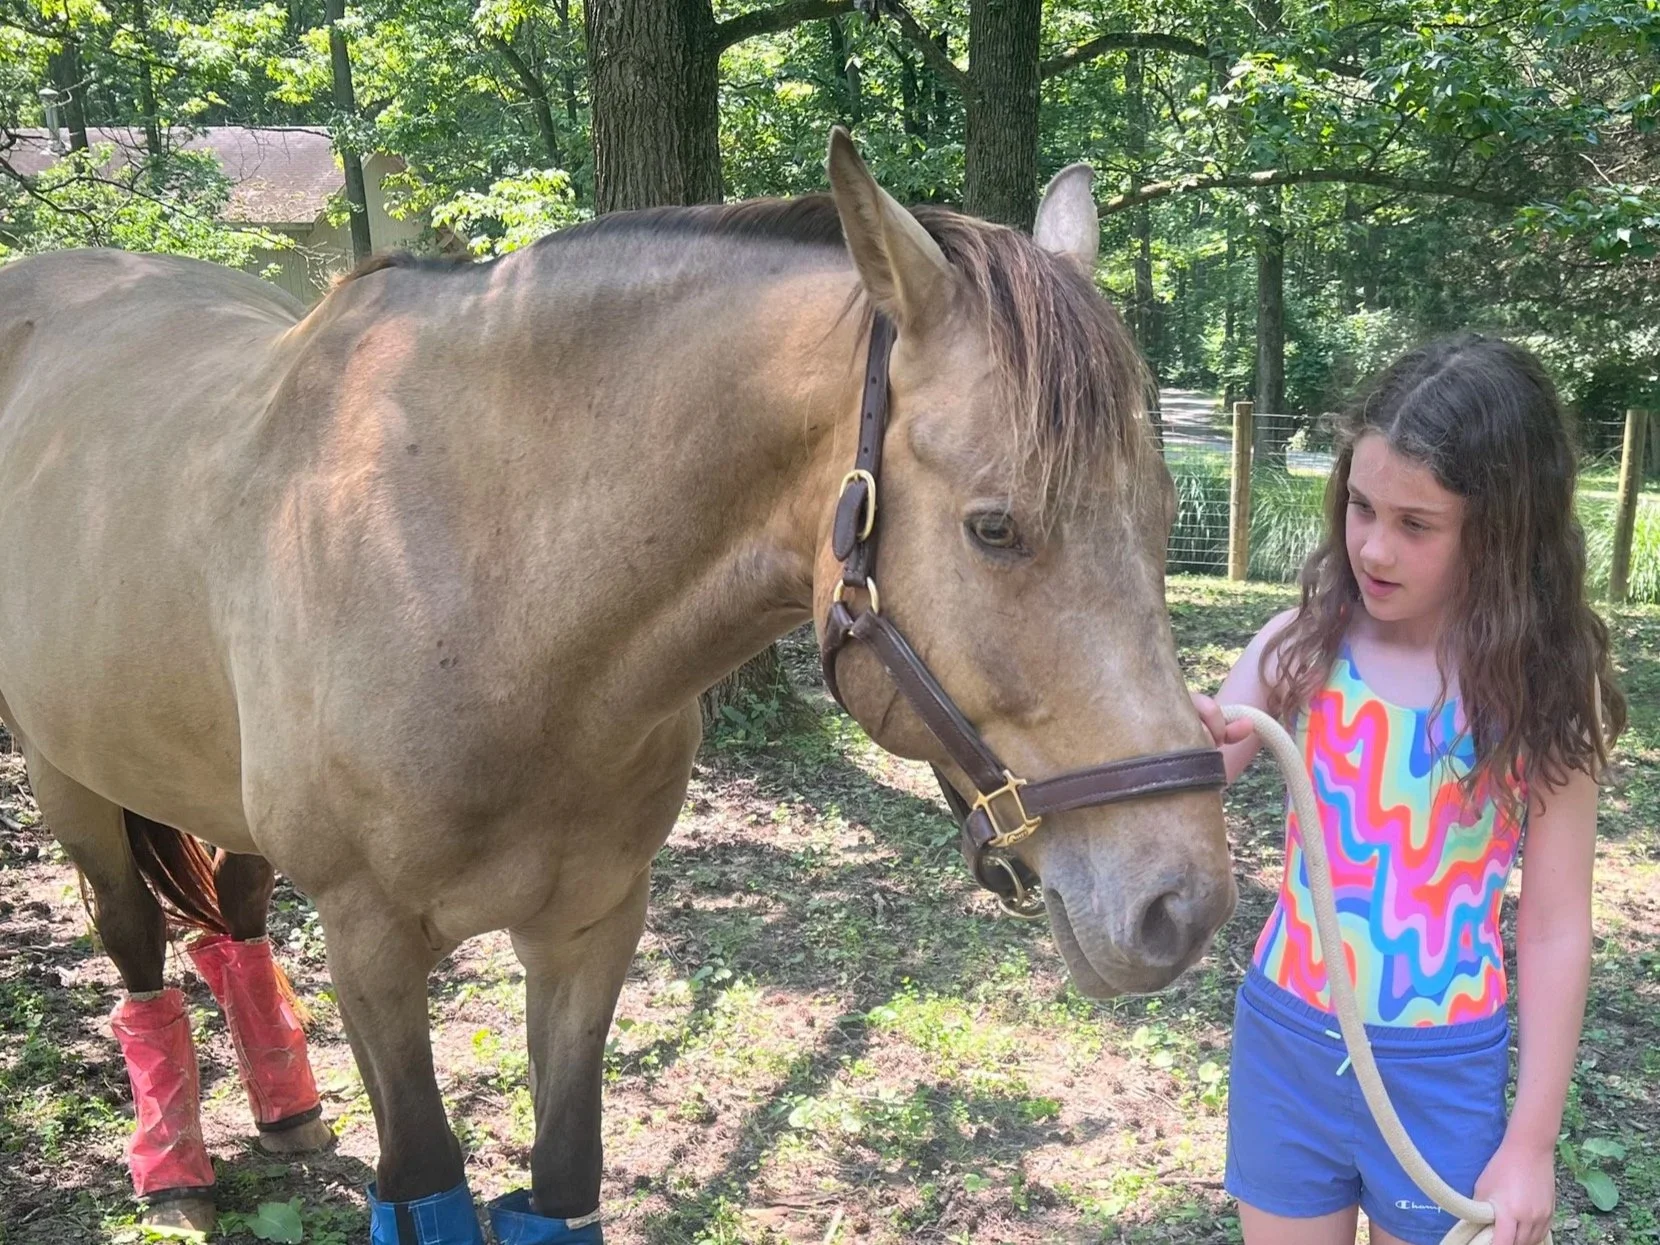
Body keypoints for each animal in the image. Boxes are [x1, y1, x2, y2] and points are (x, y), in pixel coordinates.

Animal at [0, 130, 1235, 1242]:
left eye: (1167, 513)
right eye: (994, 527)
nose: (1181, 905)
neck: (480, 574)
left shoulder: (591, 926)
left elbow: (561, 1178)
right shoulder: (370, 942)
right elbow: (426, 1177)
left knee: (237, 914)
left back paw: (288, 1111)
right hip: (66, 776)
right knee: (135, 942)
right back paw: (173, 1167)